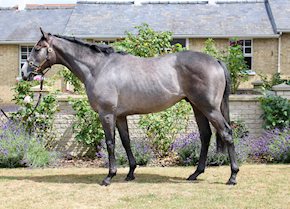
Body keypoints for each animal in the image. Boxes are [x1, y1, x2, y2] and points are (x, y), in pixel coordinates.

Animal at [21, 28, 239, 185]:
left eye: (37, 48)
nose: (24, 73)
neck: (98, 68)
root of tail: (215, 61)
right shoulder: (120, 116)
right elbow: (126, 142)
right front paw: (130, 173)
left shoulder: (106, 114)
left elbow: (110, 143)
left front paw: (109, 176)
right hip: (197, 107)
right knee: (205, 136)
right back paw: (195, 174)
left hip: (209, 108)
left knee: (227, 133)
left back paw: (232, 176)